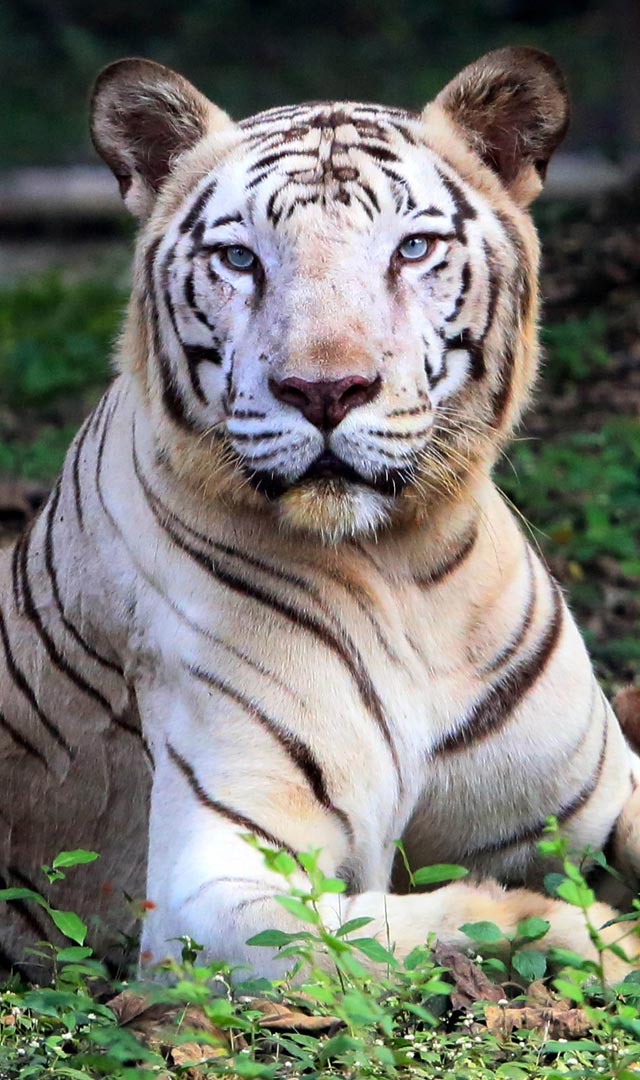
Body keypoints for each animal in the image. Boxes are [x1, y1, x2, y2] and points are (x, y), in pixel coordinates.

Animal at [1, 46, 639, 982]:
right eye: (239, 259)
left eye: (413, 248)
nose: (324, 390)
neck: (406, 569)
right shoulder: (212, 883)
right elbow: (442, 920)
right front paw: (600, 938)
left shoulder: (601, 788)